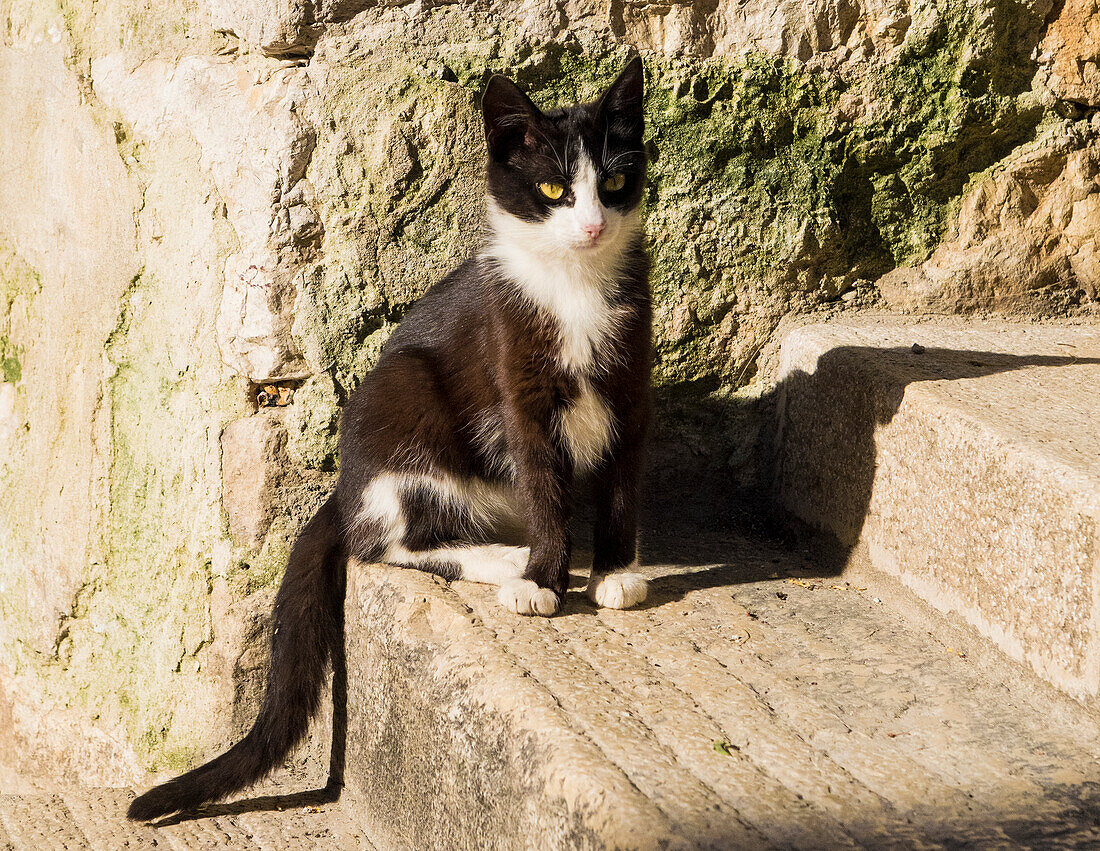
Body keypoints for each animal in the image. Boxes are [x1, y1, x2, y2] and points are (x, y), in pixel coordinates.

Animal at [133, 56, 655, 822]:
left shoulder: (631, 381)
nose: (590, 226)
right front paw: (541, 579)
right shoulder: (516, 376)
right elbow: (543, 484)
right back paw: (503, 558)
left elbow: (621, 479)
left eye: (614, 184)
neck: (576, 286)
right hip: (403, 407)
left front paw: (615, 570)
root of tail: (345, 485)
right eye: (554, 189)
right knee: (388, 541)